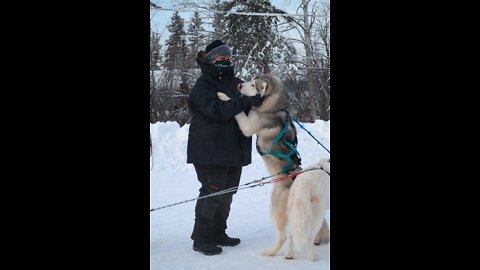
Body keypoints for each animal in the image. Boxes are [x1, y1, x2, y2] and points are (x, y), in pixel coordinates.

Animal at [218, 73, 330, 260]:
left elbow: (238, 112)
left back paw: (270, 252)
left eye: (254, 85)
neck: (273, 108)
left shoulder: (247, 125)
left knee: (284, 236)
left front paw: (223, 96)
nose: (239, 85)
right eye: (250, 80)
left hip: (275, 210)